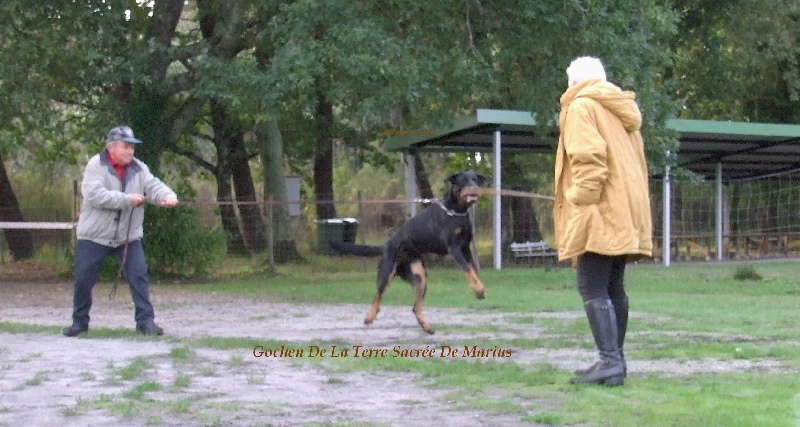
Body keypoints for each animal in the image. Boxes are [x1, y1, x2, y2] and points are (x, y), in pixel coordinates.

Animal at [328, 170, 490, 334]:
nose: (475, 188)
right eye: (463, 180)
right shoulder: (454, 247)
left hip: (420, 277)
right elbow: (468, 269)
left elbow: (473, 270)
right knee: (378, 295)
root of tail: (385, 246)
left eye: (475, 180)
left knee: (415, 307)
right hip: (387, 272)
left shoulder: (465, 248)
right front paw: (478, 289)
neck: (457, 212)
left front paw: (479, 289)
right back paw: (370, 316)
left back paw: (427, 327)